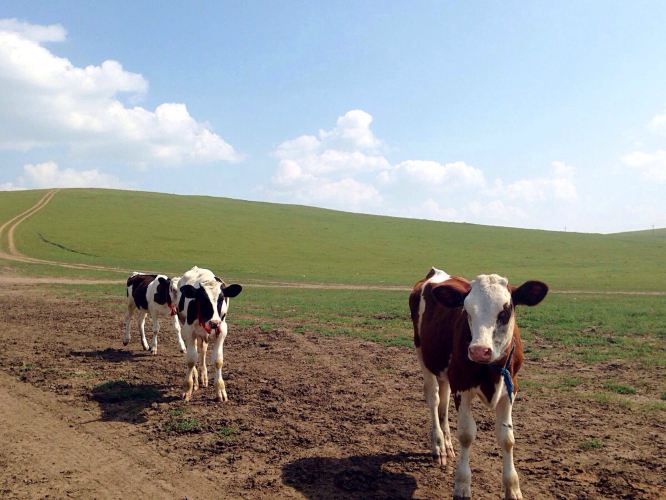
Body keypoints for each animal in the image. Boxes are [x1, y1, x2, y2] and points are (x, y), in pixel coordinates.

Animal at [176, 266, 241, 402]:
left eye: (221, 299)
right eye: (203, 300)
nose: (214, 323)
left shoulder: (222, 330)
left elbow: (218, 360)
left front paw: (220, 390)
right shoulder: (189, 331)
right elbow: (191, 360)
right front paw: (187, 388)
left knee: (203, 351)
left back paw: (203, 377)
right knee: (195, 352)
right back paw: (196, 380)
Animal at [408, 268, 548, 500]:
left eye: (505, 311)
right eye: (466, 310)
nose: (479, 350)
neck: (490, 370)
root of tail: (435, 272)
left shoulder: (510, 389)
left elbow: (507, 438)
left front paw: (512, 488)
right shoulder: (462, 385)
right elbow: (466, 435)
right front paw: (462, 485)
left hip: (446, 372)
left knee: (444, 402)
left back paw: (447, 444)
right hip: (423, 355)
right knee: (434, 398)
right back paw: (438, 445)